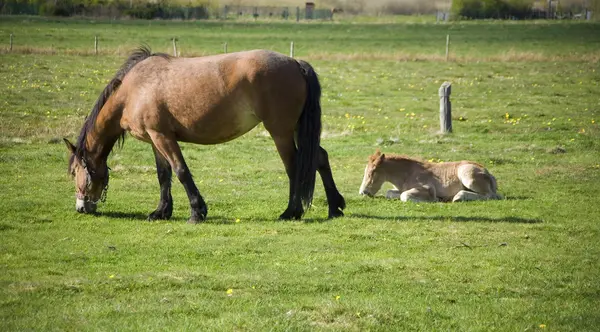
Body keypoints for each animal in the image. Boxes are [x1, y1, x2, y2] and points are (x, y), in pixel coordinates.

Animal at [63, 46, 344, 223]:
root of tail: (296, 63)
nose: (81, 208)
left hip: (281, 132)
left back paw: (291, 212)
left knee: (294, 167)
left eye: (76, 172)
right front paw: (161, 212)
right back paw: (335, 207)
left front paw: (197, 212)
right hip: (295, 130)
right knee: (319, 158)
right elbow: (163, 175)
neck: (134, 90)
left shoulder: (163, 137)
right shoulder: (155, 139)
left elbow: (181, 172)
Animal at [358, 150, 504, 202]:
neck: (408, 174)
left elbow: (404, 196)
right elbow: (390, 193)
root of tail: (488, 173)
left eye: (372, 172)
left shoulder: (427, 188)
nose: (363, 192)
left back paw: (457, 197)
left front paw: (434, 199)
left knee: (490, 195)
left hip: (468, 176)